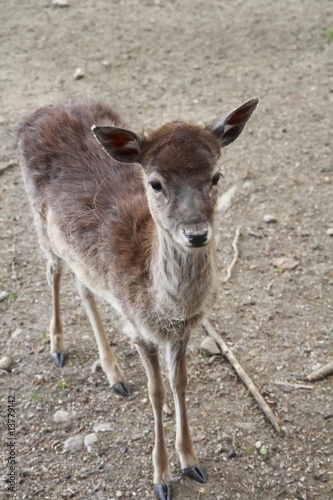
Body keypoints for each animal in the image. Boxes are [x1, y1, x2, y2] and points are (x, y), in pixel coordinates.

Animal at [17, 95, 256, 498]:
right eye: (155, 183)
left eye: (216, 177)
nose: (196, 233)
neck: (166, 306)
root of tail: (45, 108)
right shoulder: (139, 329)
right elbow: (156, 391)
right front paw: (161, 477)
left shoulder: (181, 331)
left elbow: (179, 383)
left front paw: (191, 461)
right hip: (40, 222)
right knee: (52, 271)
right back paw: (58, 347)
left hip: (80, 254)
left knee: (83, 286)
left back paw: (114, 373)